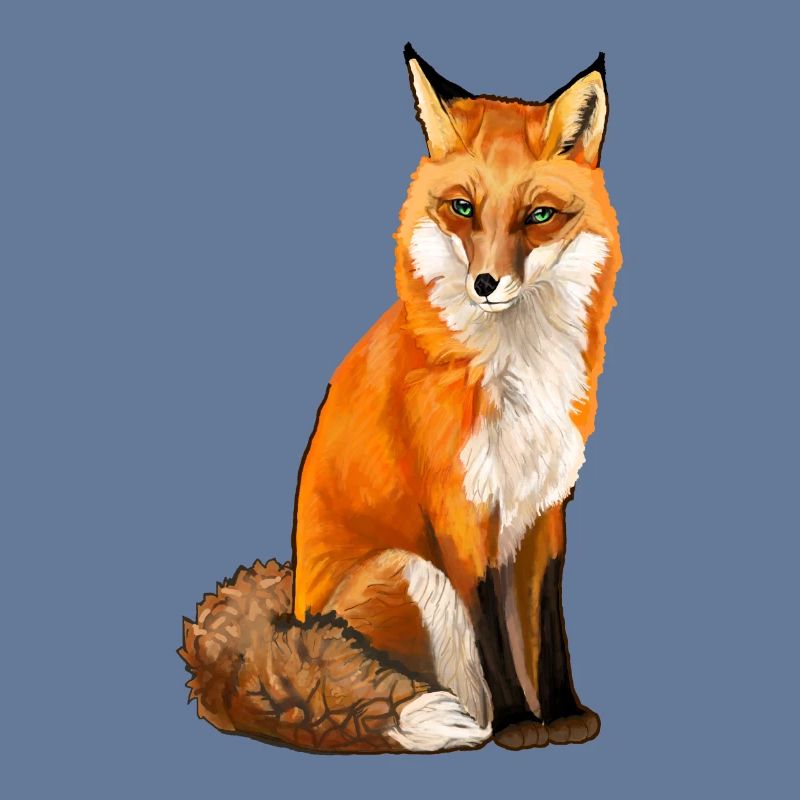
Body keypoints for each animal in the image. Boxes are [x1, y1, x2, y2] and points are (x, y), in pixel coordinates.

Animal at [181, 44, 622, 754]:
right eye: (463, 208)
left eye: (539, 216)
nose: (486, 283)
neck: (515, 371)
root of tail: (290, 618)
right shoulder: (458, 512)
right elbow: (494, 636)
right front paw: (522, 724)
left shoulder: (545, 507)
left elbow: (548, 627)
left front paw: (563, 712)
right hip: (412, 570)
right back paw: (471, 722)